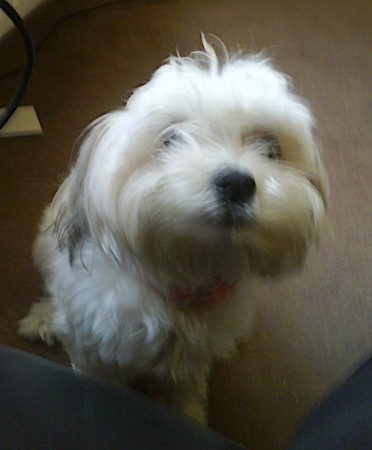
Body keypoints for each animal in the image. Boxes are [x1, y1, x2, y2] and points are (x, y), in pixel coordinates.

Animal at [18, 37, 326, 422]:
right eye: (171, 138)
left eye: (271, 148)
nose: (237, 183)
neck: (183, 283)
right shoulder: (91, 345)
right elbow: (97, 377)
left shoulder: (188, 361)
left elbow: (184, 391)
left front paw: (189, 418)